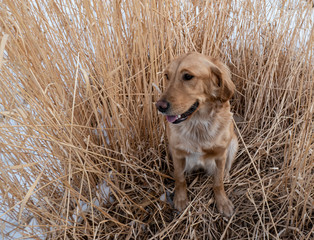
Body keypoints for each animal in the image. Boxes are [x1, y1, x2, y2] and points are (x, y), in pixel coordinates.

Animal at [156, 52, 237, 218]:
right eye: (167, 76)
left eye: (188, 76)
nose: (159, 106)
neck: (198, 122)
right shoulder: (177, 153)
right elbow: (180, 178)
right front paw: (180, 199)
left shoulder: (221, 154)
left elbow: (218, 182)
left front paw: (222, 202)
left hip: (234, 144)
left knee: (226, 169)